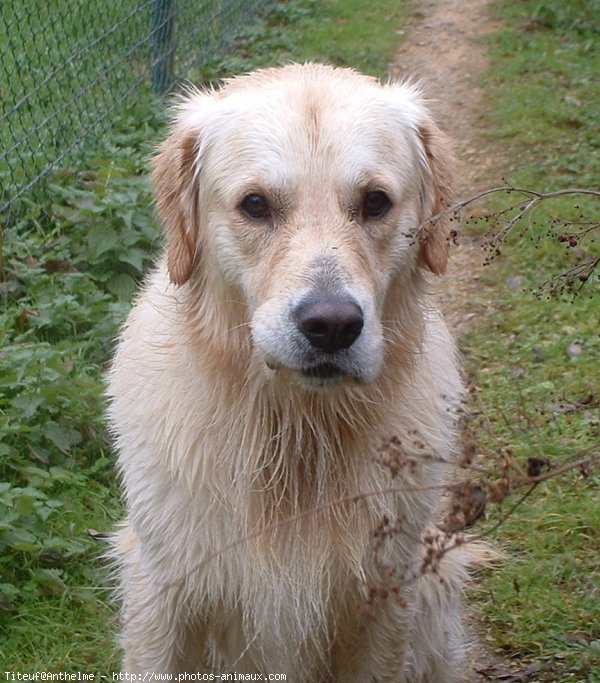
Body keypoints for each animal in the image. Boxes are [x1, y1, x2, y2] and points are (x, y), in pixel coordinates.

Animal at [108, 62, 488, 680]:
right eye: (256, 204)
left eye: (375, 202)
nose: (331, 326)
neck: (295, 429)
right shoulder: (164, 590)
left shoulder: (386, 597)